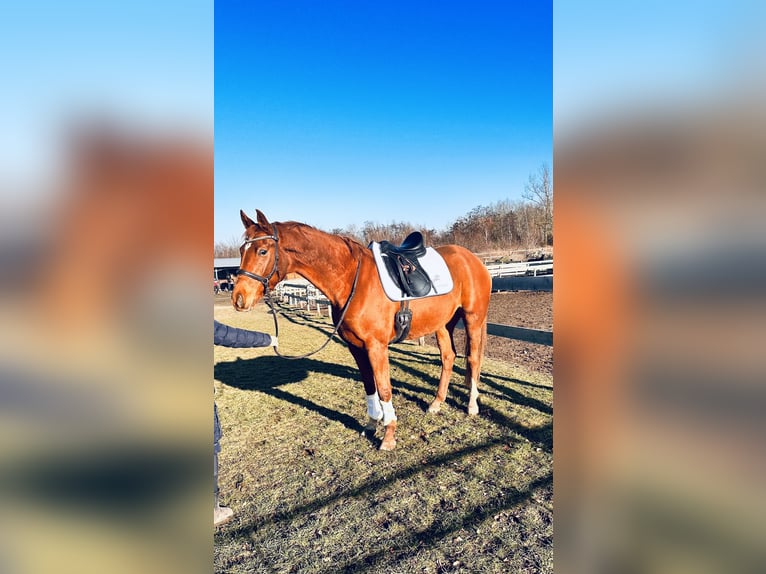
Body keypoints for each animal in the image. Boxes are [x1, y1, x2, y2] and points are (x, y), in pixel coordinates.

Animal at [232, 209, 492, 452]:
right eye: (241, 250)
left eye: (262, 251)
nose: (239, 298)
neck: (351, 280)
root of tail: (472, 259)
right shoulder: (356, 347)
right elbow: (370, 386)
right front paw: (371, 425)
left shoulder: (376, 347)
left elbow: (384, 389)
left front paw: (388, 436)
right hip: (443, 324)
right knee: (448, 357)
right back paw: (436, 403)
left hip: (473, 319)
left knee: (473, 358)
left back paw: (472, 405)